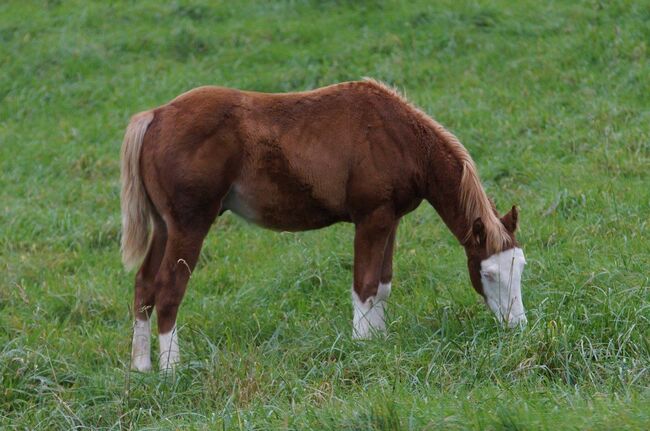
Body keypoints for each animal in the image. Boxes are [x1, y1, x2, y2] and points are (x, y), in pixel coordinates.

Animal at [120, 78, 528, 372]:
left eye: (521, 267)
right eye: (488, 273)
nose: (517, 327)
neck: (397, 135)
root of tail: (155, 115)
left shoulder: (391, 220)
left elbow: (382, 285)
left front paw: (379, 341)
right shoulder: (372, 219)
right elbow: (364, 286)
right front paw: (363, 349)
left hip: (165, 228)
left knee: (144, 286)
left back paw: (141, 368)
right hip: (189, 227)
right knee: (169, 290)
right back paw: (172, 371)